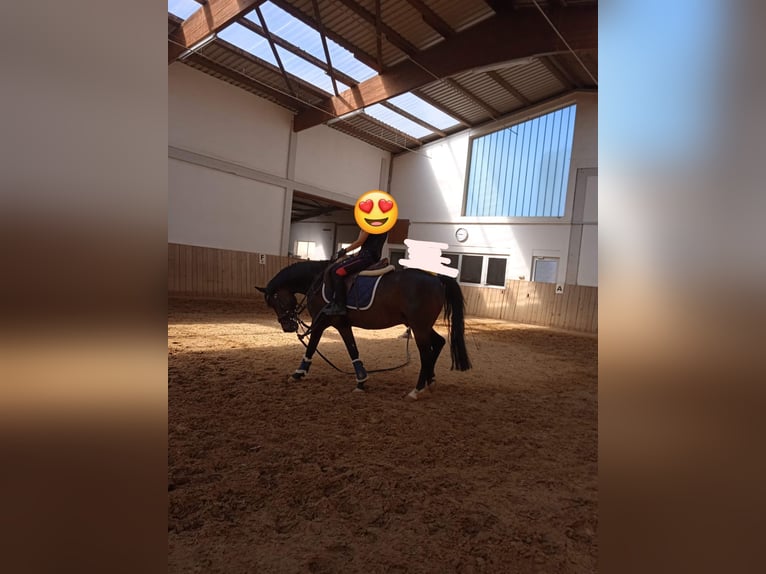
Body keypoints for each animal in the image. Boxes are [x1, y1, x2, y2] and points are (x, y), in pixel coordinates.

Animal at [256, 259, 472, 399]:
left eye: (275, 301)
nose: (287, 326)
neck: (318, 282)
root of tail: (436, 278)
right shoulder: (332, 324)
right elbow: (329, 348)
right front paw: (299, 374)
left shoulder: (330, 324)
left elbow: (330, 348)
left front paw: (360, 381)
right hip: (422, 326)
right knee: (439, 342)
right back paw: (430, 381)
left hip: (418, 327)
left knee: (426, 354)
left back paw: (416, 390)